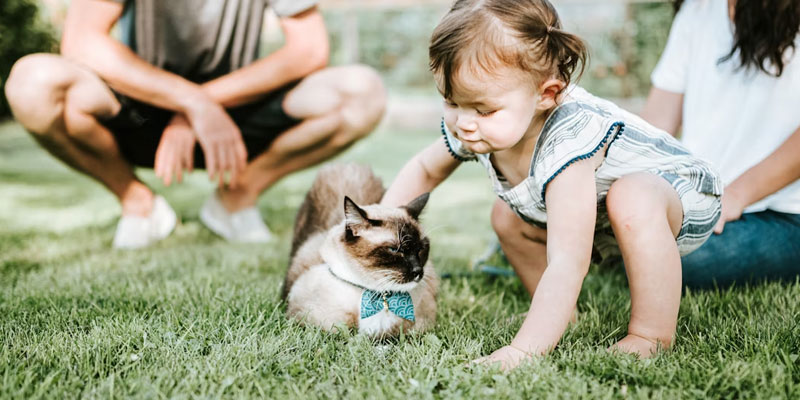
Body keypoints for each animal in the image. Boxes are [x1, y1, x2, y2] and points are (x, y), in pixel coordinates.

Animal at [282, 162, 438, 338]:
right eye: (395, 249)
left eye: (422, 248)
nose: (418, 270)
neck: (379, 295)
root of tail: (347, 165)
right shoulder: (312, 323)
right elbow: (345, 332)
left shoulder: (421, 326)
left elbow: (397, 335)